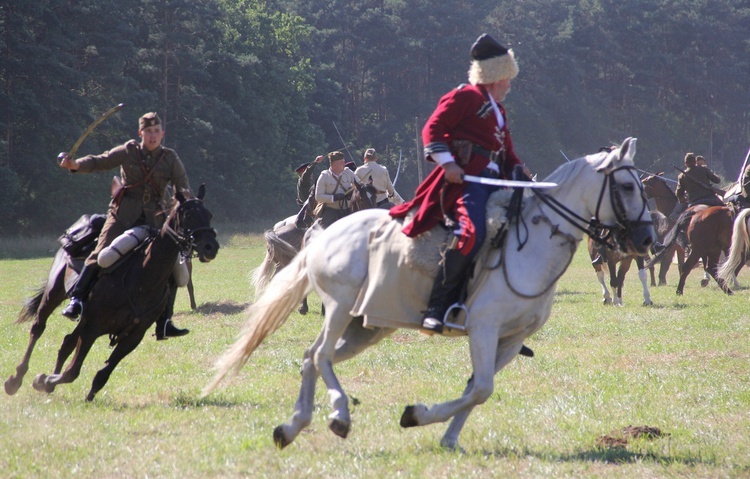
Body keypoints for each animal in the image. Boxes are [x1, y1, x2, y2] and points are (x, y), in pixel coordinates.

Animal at [4, 188, 219, 402]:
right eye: (188, 215)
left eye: (209, 215)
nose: (211, 247)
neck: (142, 278)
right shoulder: (92, 327)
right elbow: (72, 371)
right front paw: (43, 380)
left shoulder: (132, 336)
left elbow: (102, 373)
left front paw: (81, 393)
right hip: (53, 294)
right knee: (38, 329)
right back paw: (16, 379)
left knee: (67, 343)